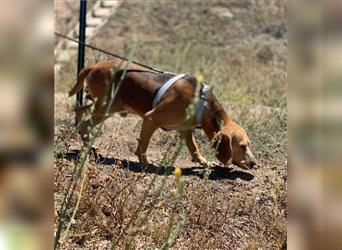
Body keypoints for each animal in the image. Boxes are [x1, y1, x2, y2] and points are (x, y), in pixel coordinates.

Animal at [68, 59, 258, 170]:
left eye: (248, 145)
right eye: (242, 146)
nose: (255, 164)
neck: (202, 103)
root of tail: (95, 66)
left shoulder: (185, 130)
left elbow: (194, 149)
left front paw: (204, 162)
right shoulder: (151, 118)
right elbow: (143, 146)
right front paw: (145, 164)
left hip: (107, 106)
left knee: (80, 111)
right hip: (106, 106)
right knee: (85, 118)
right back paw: (87, 142)